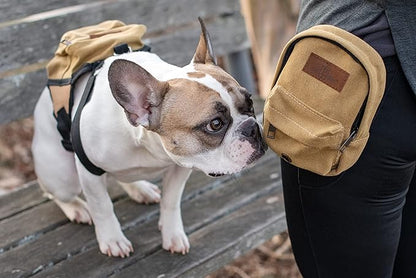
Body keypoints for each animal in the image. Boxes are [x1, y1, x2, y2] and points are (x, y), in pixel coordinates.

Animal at [31, 20, 266, 258]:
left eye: (250, 103)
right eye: (215, 124)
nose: (253, 128)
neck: (146, 144)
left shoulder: (181, 165)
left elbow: (171, 201)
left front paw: (172, 234)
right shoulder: (89, 171)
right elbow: (102, 206)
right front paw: (112, 239)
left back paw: (140, 189)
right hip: (62, 178)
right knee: (56, 193)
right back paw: (77, 208)